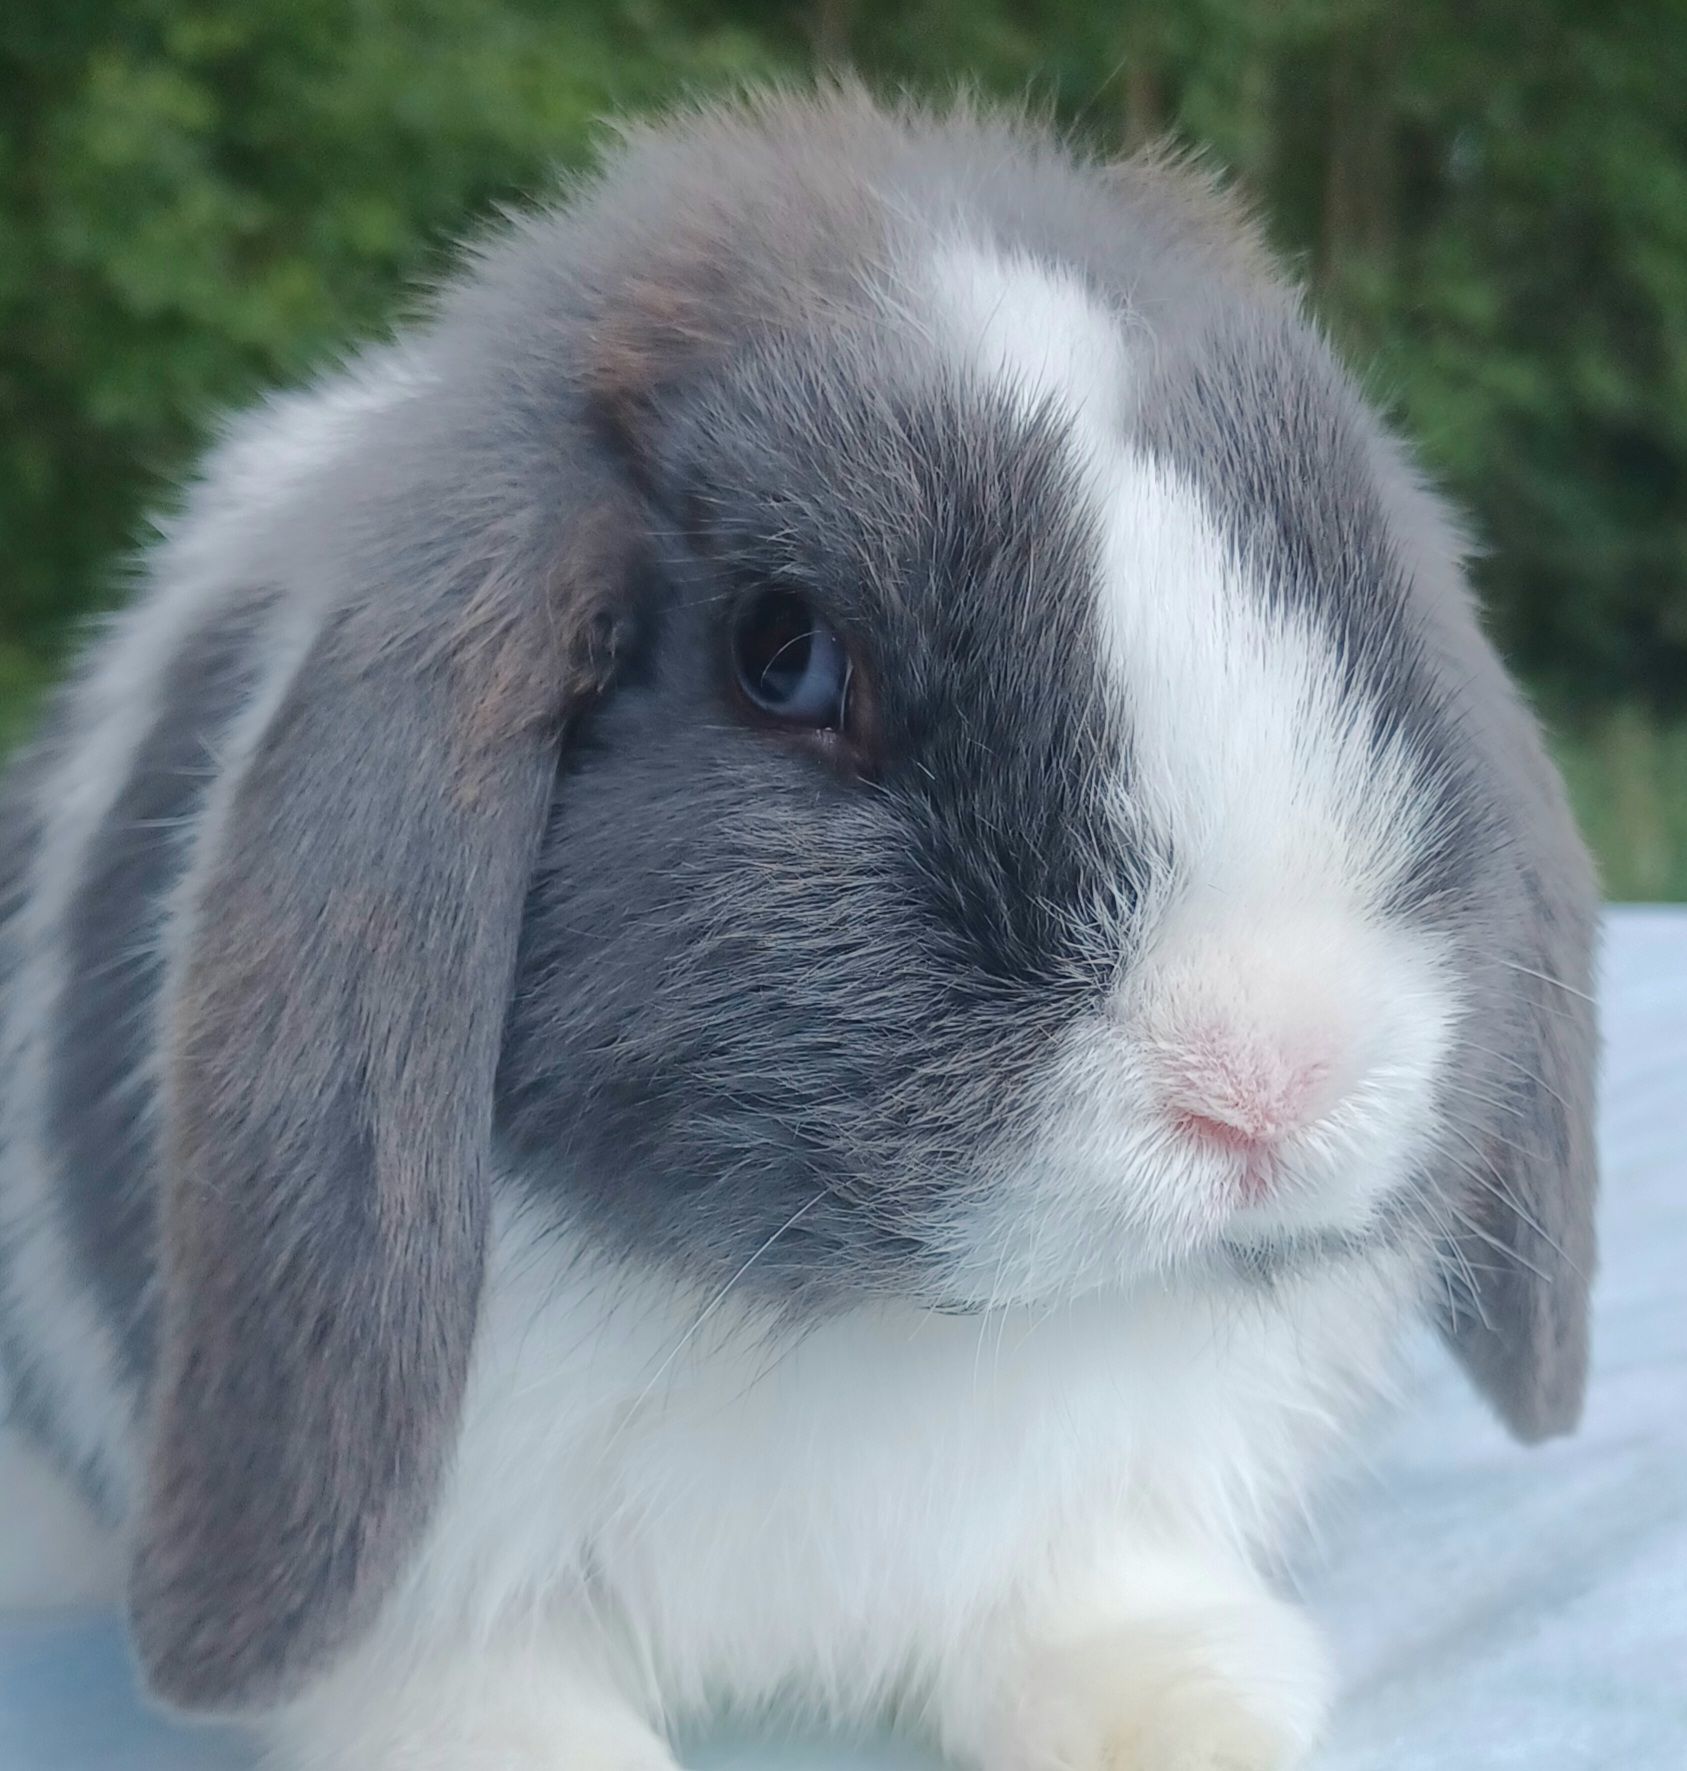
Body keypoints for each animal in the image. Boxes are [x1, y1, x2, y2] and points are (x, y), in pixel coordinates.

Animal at [0, 88, 1599, 1771]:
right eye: (785, 656)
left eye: (1345, 591)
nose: (1267, 1081)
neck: (859, 1325)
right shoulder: (446, 1560)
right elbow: (467, 1682)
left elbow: (1092, 1594)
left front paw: (1183, 1720)